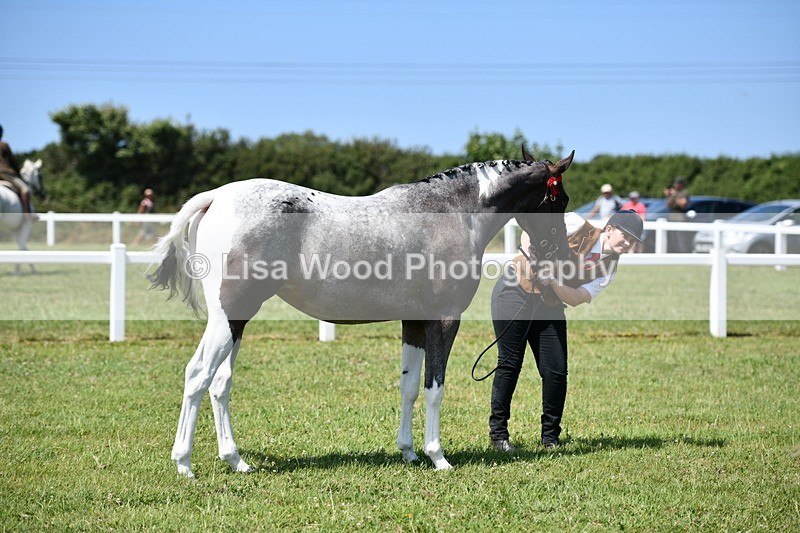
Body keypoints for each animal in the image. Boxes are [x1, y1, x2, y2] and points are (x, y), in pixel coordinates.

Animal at [150, 147, 574, 478]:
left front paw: (409, 451)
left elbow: (408, 386)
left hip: (236, 322)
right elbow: (433, 388)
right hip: (229, 317)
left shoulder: (413, 322)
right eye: (561, 199)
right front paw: (438, 456)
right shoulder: (443, 320)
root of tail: (216, 198)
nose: (560, 255)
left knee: (220, 382)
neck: (453, 213)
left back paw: (236, 460)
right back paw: (184, 463)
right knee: (198, 375)